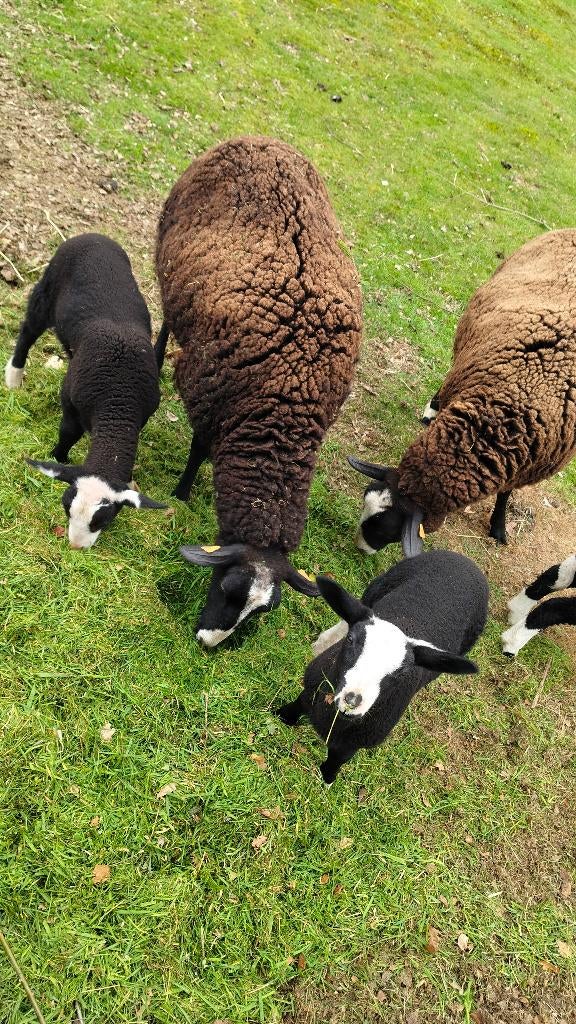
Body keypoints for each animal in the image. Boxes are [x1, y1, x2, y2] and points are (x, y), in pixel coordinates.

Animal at [5, 233, 167, 547]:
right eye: (65, 506)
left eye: (104, 519)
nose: (75, 547)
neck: (118, 396)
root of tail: (94, 236)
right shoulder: (71, 404)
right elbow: (68, 433)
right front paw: (59, 457)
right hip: (46, 291)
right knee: (28, 331)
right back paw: (13, 377)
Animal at [155, 135, 362, 645]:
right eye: (226, 585)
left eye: (263, 611)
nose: (208, 645)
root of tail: (262, 140)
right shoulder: (210, 397)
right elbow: (198, 449)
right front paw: (183, 492)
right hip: (167, 253)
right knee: (167, 318)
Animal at [276, 550, 488, 783]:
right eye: (351, 640)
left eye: (403, 671)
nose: (353, 701)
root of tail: (468, 562)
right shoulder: (310, 691)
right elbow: (293, 709)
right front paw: (280, 716)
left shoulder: (352, 745)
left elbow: (334, 764)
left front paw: (327, 778)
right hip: (379, 585)